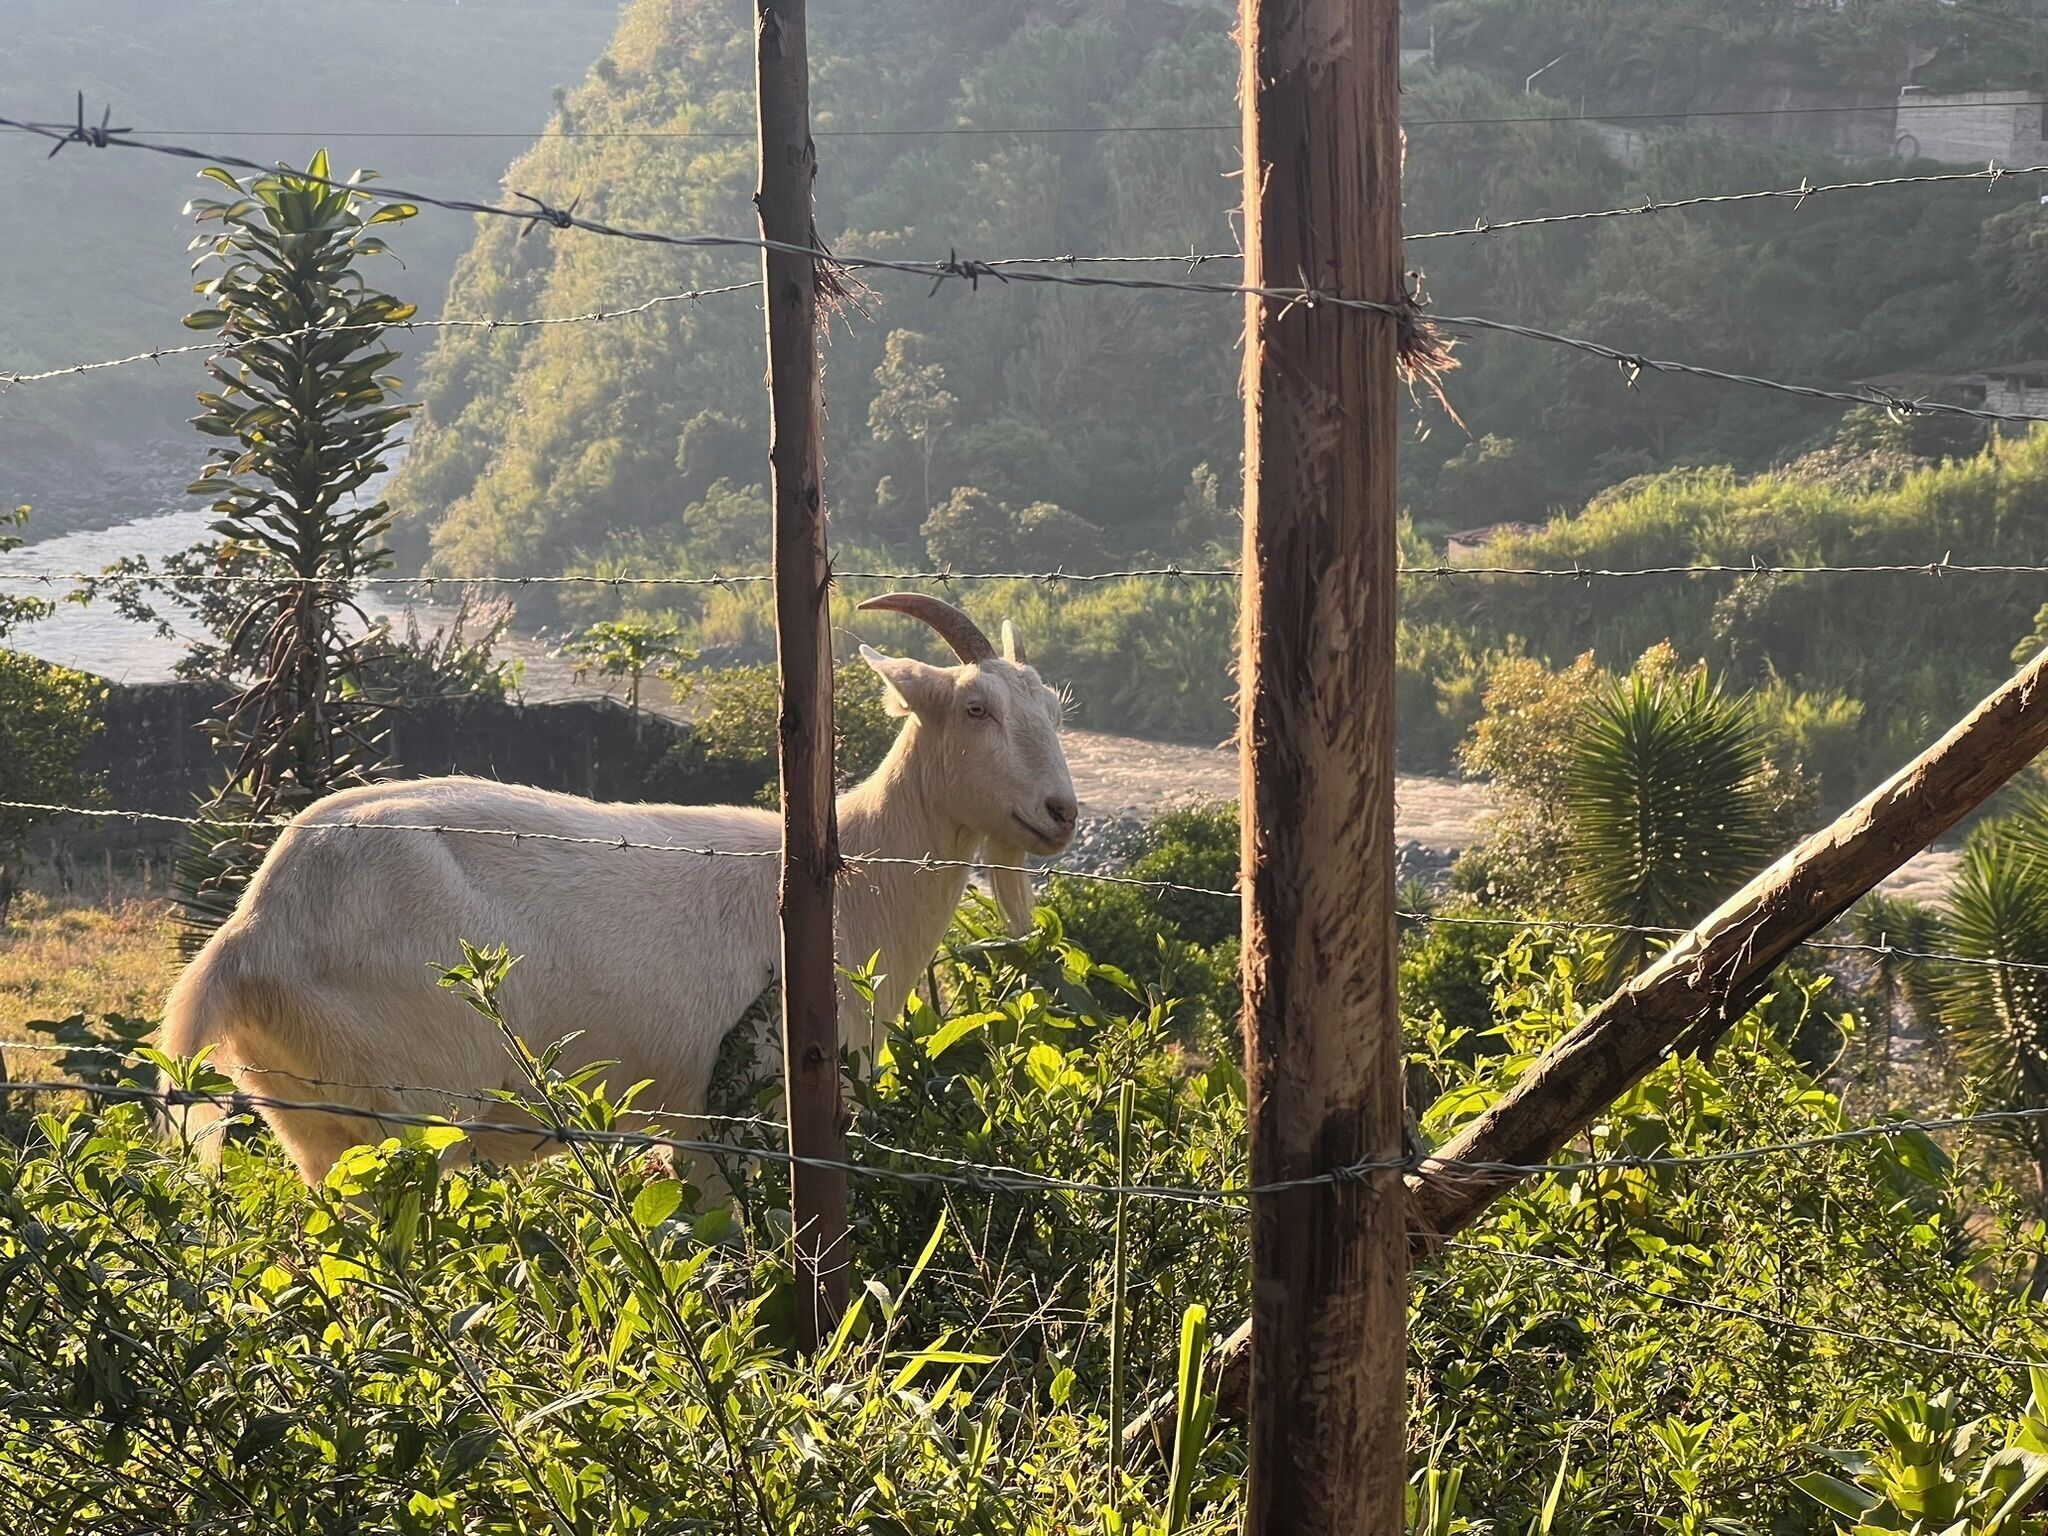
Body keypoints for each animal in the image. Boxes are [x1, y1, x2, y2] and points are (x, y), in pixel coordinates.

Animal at [159, 594, 1078, 1184]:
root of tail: (250, 936)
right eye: (975, 709)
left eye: (1055, 709)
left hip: (310, 1121)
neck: (846, 877)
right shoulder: (733, 1117)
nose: (1060, 812)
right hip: (418, 1112)